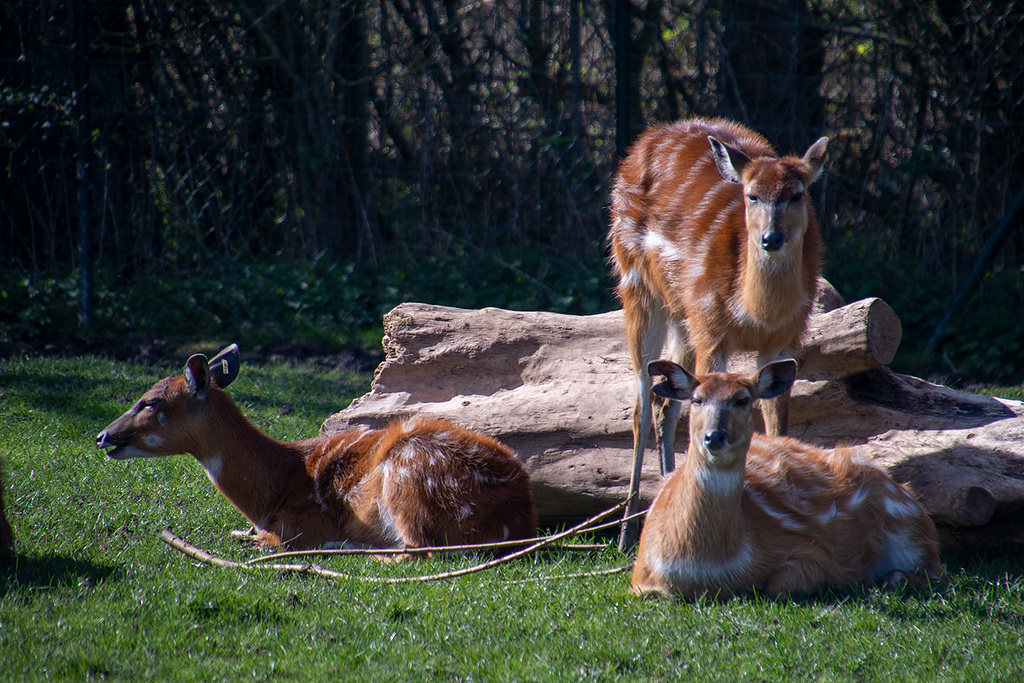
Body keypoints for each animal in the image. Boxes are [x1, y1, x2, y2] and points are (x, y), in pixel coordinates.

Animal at [97, 344, 536, 552]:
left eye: (150, 401)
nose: (103, 436)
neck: (271, 489)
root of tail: (518, 519)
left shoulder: (298, 523)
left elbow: (269, 539)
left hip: (408, 473)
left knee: (418, 550)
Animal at [606, 116, 823, 548]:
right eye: (752, 195)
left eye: (797, 194)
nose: (770, 239)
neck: (756, 315)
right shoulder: (712, 330)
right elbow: (702, 401)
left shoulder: (784, 341)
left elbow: (777, 422)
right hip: (635, 284)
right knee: (642, 404)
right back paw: (625, 534)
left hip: (682, 315)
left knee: (666, 401)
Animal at [630, 360, 942, 602]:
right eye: (697, 399)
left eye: (743, 400)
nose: (714, 436)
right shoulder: (638, 575)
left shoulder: (813, 549)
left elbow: (778, 585)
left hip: (909, 531)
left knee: (938, 575)